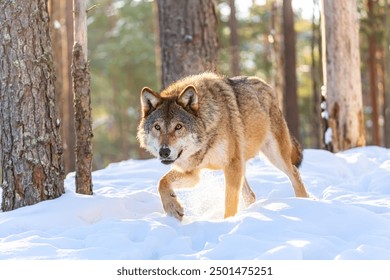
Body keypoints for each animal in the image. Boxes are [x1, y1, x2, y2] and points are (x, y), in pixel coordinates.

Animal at [136, 72, 308, 221]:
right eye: (157, 127)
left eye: (178, 127)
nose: (164, 152)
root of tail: (265, 84)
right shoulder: (193, 173)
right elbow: (162, 182)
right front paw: (173, 208)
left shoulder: (231, 166)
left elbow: (230, 204)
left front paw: (227, 223)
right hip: (243, 166)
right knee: (251, 195)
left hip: (273, 156)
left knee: (294, 173)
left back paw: (305, 203)